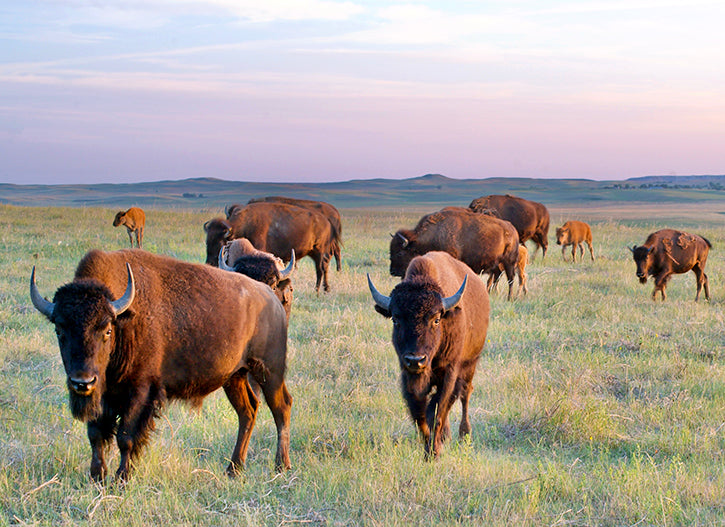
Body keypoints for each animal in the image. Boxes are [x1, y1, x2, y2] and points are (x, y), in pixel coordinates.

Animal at [30, 251, 292, 482]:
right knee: (248, 411)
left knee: (281, 407)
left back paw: (281, 466)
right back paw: (234, 469)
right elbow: (96, 434)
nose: (82, 382)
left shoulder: (140, 391)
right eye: (59, 330)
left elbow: (126, 436)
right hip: (235, 377)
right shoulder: (103, 393)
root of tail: (271, 298)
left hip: (269, 371)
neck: (123, 317)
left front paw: (121, 478)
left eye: (106, 330)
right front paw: (97, 477)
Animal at [205, 201, 336, 292]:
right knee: (322, 268)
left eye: (221, 243)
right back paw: (324, 289)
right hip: (314, 253)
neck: (246, 223)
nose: (209, 263)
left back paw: (318, 291)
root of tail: (327, 222)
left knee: (320, 269)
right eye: (207, 241)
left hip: (319, 251)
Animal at [368, 251, 486, 458]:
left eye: (436, 319)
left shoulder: (449, 374)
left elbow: (437, 412)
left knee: (465, 394)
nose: (416, 360)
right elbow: (420, 415)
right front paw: (429, 449)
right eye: (395, 319)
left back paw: (464, 434)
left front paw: (434, 452)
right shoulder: (407, 376)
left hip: (470, 364)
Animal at [390, 207, 520, 302]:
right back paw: (491, 294)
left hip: (509, 261)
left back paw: (509, 298)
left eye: (400, 253)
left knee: (510, 278)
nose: (392, 271)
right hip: (498, 263)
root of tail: (512, 229)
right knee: (497, 276)